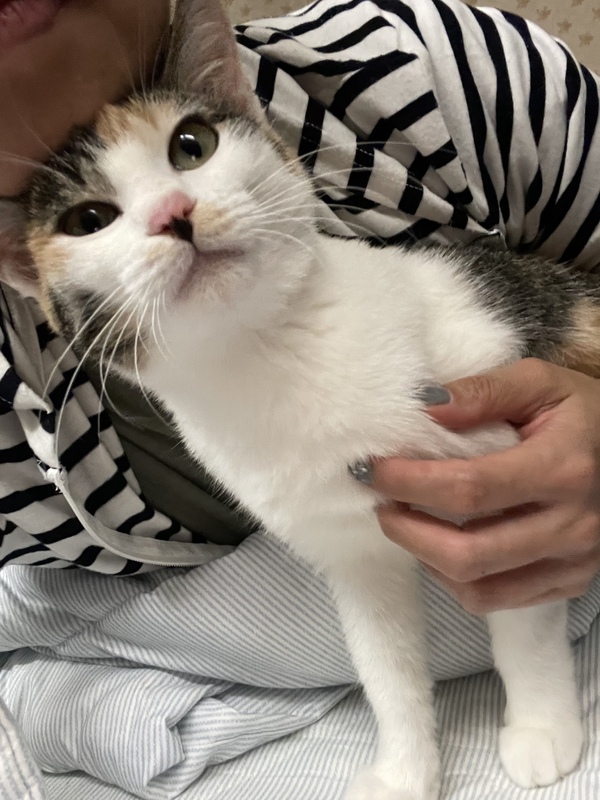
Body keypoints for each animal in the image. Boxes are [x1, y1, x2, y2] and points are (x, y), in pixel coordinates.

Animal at [1, 0, 597, 796]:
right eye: (87, 221)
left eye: (192, 145)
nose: (174, 212)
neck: (272, 353)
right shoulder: (349, 553)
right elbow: (384, 665)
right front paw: (404, 771)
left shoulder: (505, 471)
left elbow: (522, 616)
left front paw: (540, 727)